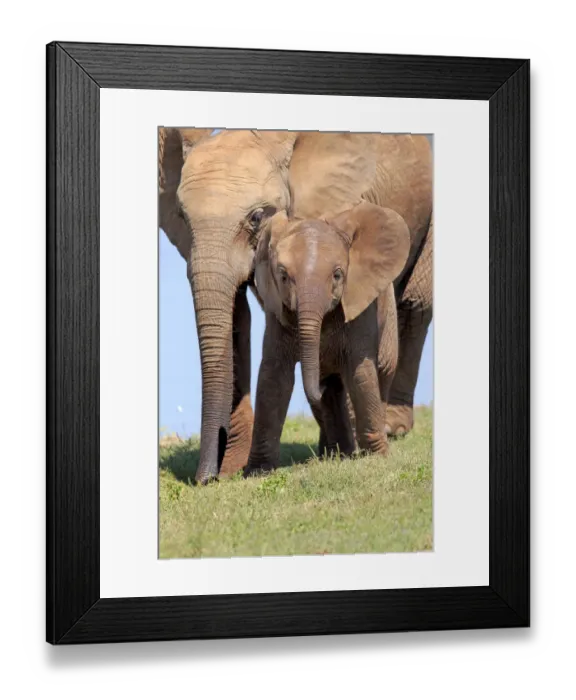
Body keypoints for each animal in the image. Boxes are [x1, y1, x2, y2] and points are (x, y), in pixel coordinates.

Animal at [244, 203, 410, 475]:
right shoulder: (276, 311)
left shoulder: (360, 305)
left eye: (338, 275)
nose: (316, 391)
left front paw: (378, 458)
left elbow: (360, 372)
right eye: (283, 276)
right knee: (334, 388)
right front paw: (257, 472)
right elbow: (273, 377)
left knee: (382, 373)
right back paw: (340, 455)